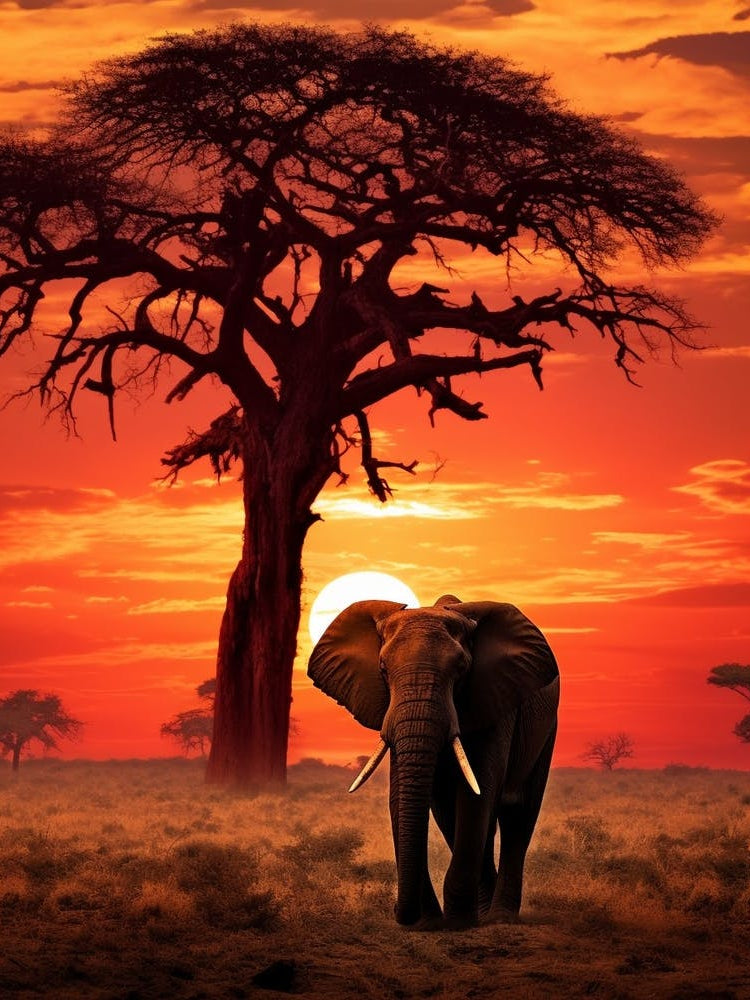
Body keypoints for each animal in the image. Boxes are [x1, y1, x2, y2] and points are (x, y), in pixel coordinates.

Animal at [307, 595, 559, 929]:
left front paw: (458, 923)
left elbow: (478, 792)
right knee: (451, 815)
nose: (399, 914)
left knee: (518, 814)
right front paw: (431, 923)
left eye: (462, 669)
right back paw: (482, 910)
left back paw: (498, 917)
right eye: (383, 669)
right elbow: (404, 795)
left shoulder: (494, 700)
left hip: (546, 728)